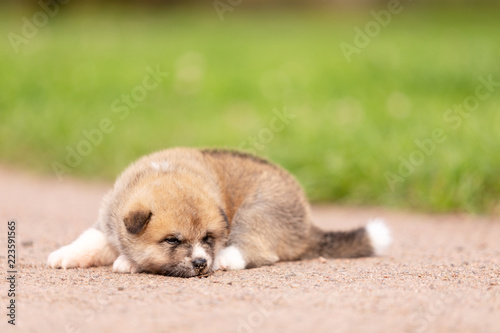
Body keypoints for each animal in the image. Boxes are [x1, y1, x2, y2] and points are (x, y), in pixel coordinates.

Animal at [47, 148, 390, 278]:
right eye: (172, 240)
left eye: (208, 237)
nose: (202, 263)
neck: (166, 172)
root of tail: (307, 224)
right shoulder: (107, 222)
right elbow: (89, 240)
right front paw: (65, 254)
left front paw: (127, 262)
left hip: (257, 211)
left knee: (257, 250)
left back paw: (225, 260)